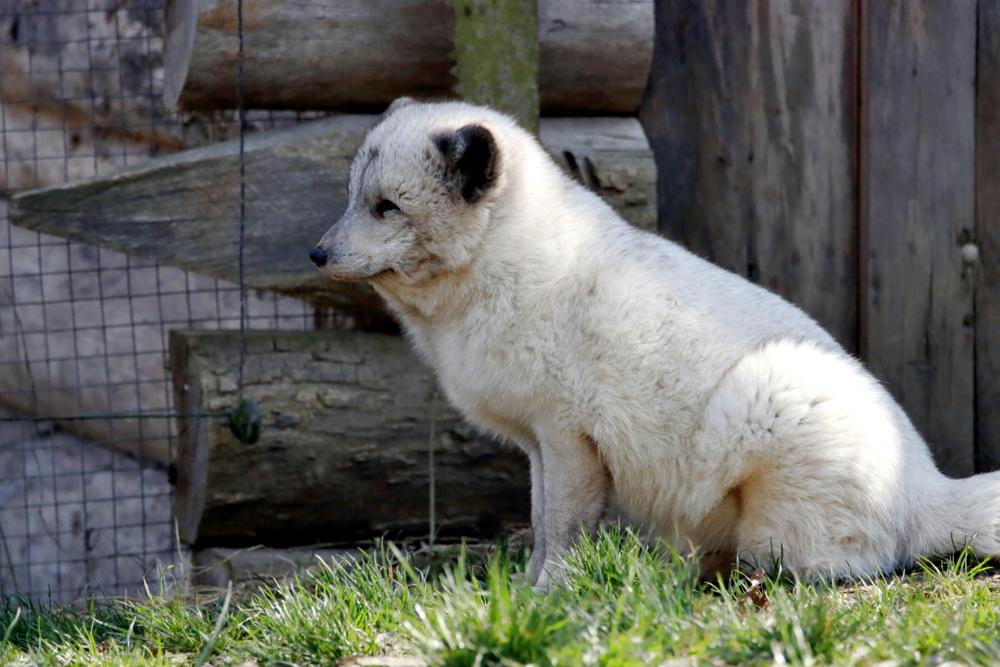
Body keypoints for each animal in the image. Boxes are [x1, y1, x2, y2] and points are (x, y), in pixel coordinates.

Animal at [310, 97, 1000, 589]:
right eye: (353, 199)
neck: (502, 264)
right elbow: (539, 520)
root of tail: (926, 486)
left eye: (388, 207)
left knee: (830, 567)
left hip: (771, 397)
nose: (317, 254)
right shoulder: (537, 445)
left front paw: (549, 597)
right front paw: (522, 592)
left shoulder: (569, 438)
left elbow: (563, 528)